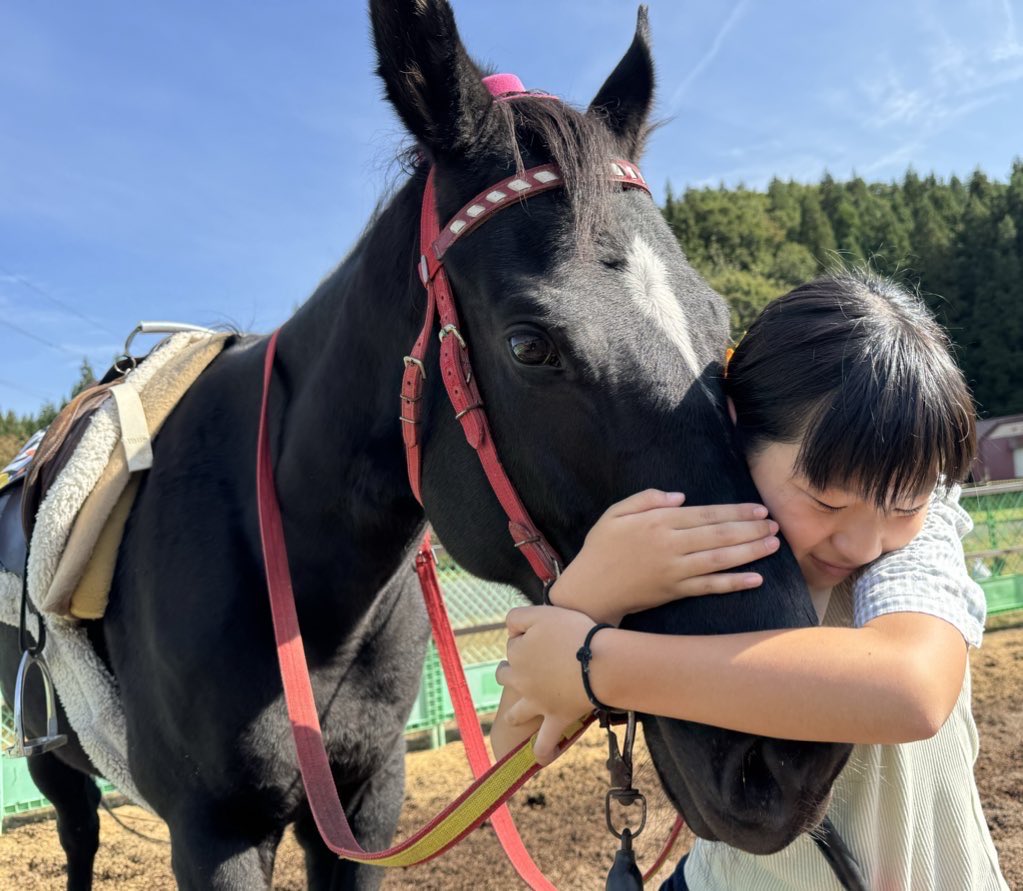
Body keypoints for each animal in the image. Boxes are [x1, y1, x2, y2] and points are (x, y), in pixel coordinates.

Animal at [1, 2, 853, 888]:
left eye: (719, 324)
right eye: (528, 345)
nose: (788, 751)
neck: (300, 585)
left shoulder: (367, 803)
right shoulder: (215, 833)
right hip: (52, 761)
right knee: (76, 834)